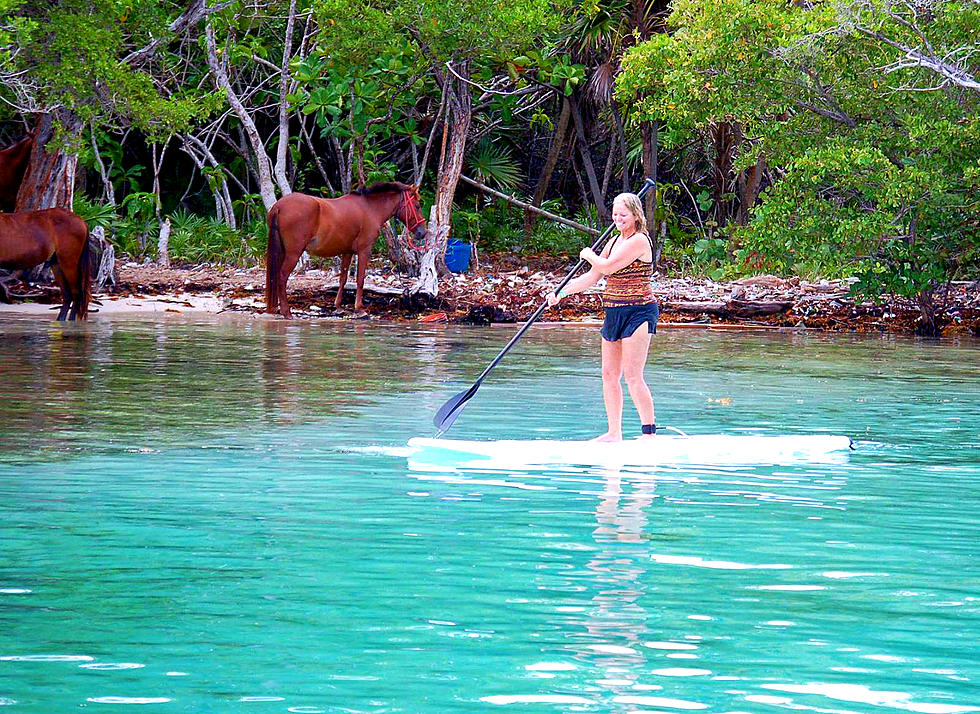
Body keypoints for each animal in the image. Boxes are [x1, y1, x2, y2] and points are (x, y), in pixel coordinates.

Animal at [266, 181, 426, 318]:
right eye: (417, 206)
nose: (422, 232)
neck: (370, 208)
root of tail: (279, 206)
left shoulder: (347, 252)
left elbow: (343, 278)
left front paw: (338, 306)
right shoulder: (364, 250)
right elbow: (360, 279)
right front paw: (359, 308)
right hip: (293, 254)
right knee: (282, 276)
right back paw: (286, 312)